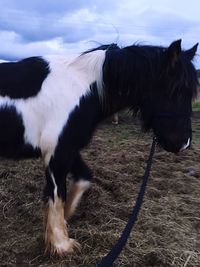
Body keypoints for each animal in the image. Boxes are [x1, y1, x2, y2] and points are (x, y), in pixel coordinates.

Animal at [0, 39, 198, 255]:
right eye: (176, 89)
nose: (183, 143)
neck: (83, 90)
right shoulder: (57, 154)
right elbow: (57, 195)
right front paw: (62, 244)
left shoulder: (70, 149)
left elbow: (84, 178)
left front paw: (62, 221)